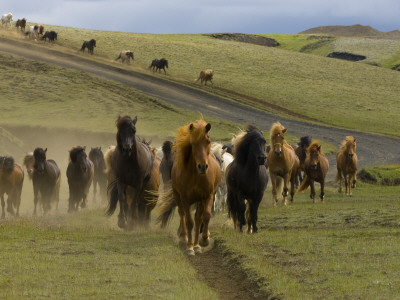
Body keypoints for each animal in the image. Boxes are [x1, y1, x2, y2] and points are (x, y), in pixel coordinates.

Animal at [156, 118, 222, 254]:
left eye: (208, 141)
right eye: (193, 143)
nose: (203, 166)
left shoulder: (207, 196)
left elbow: (205, 217)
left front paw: (202, 241)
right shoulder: (185, 199)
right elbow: (189, 221)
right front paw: (190, 247)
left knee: (198, 218)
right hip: (178, 196)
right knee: (182, 214)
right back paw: (183, 237)